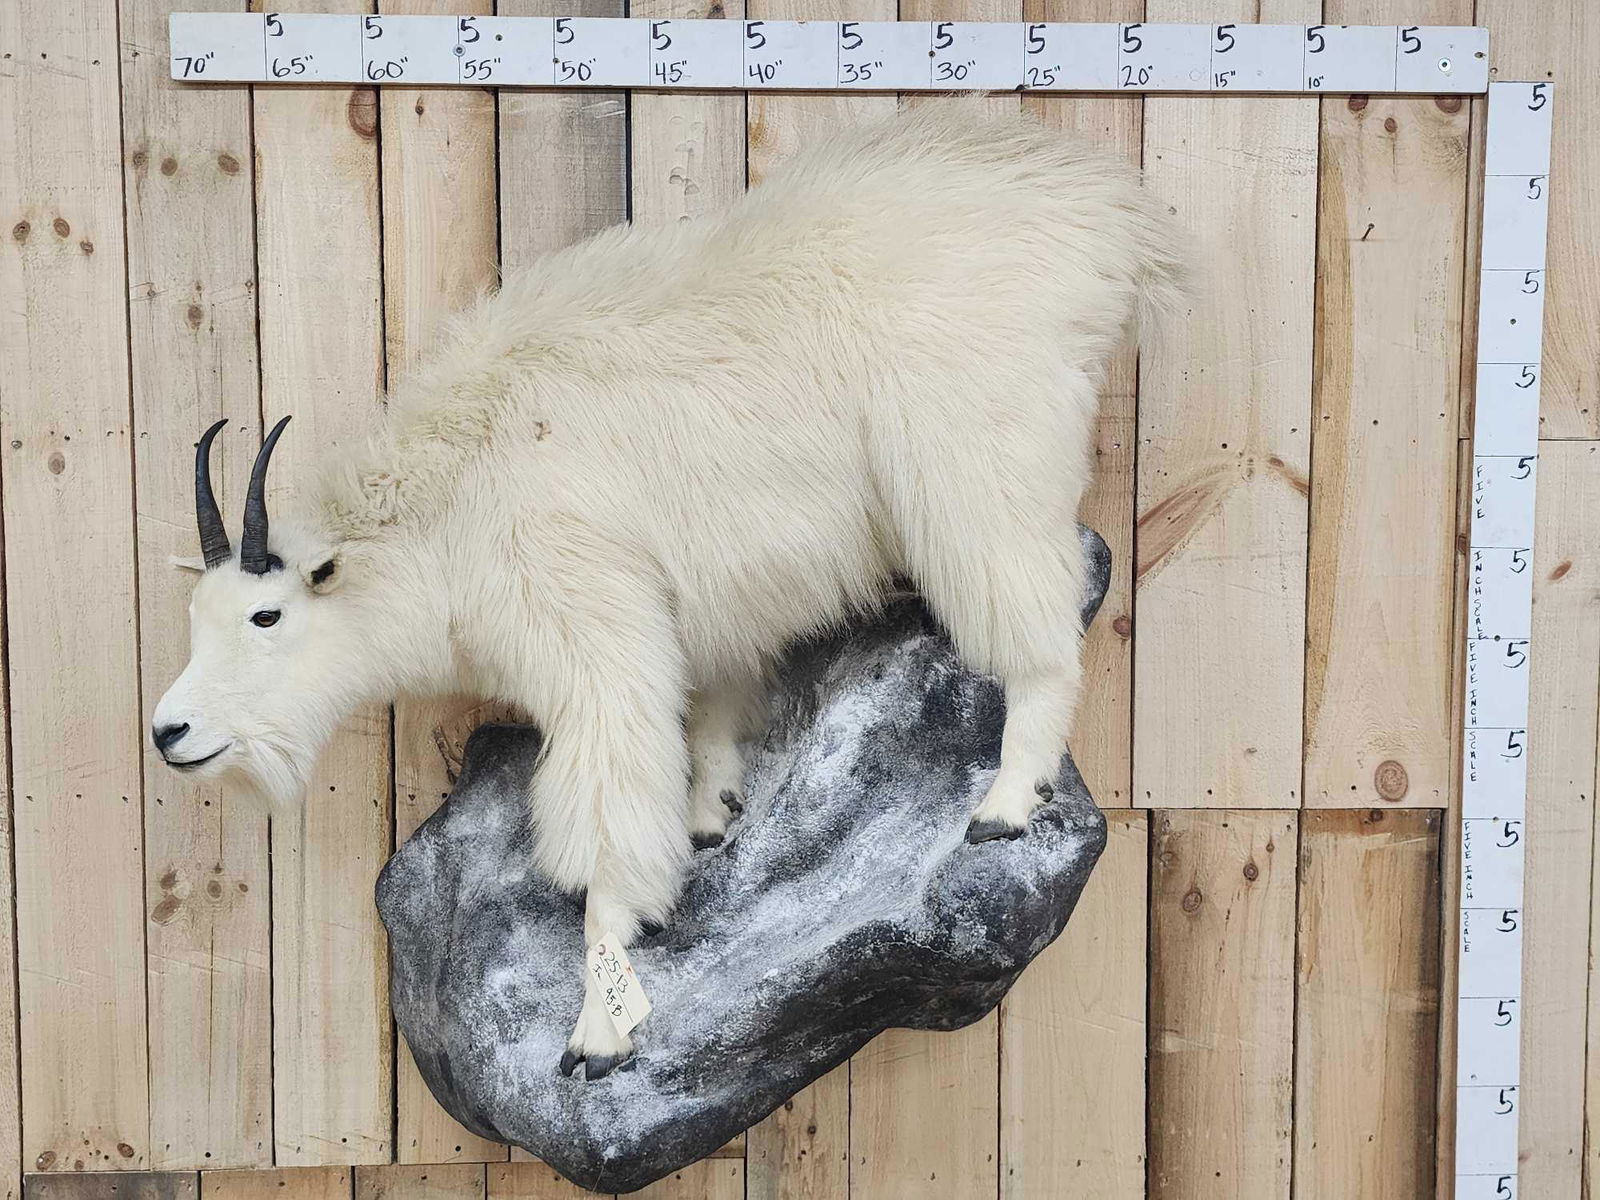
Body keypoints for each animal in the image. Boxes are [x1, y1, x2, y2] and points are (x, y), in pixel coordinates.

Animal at [153, 99, 1184, 1079]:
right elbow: (709, 725)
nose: (169, 732)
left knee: (1040, 634)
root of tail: (1102, 221)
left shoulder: (592, 639)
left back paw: (1005, 805)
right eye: (196, 616)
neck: (454, 498)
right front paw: (709, 818)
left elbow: (605, 840)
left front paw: (597, 1035)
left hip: (979, 471)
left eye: (267, 613)